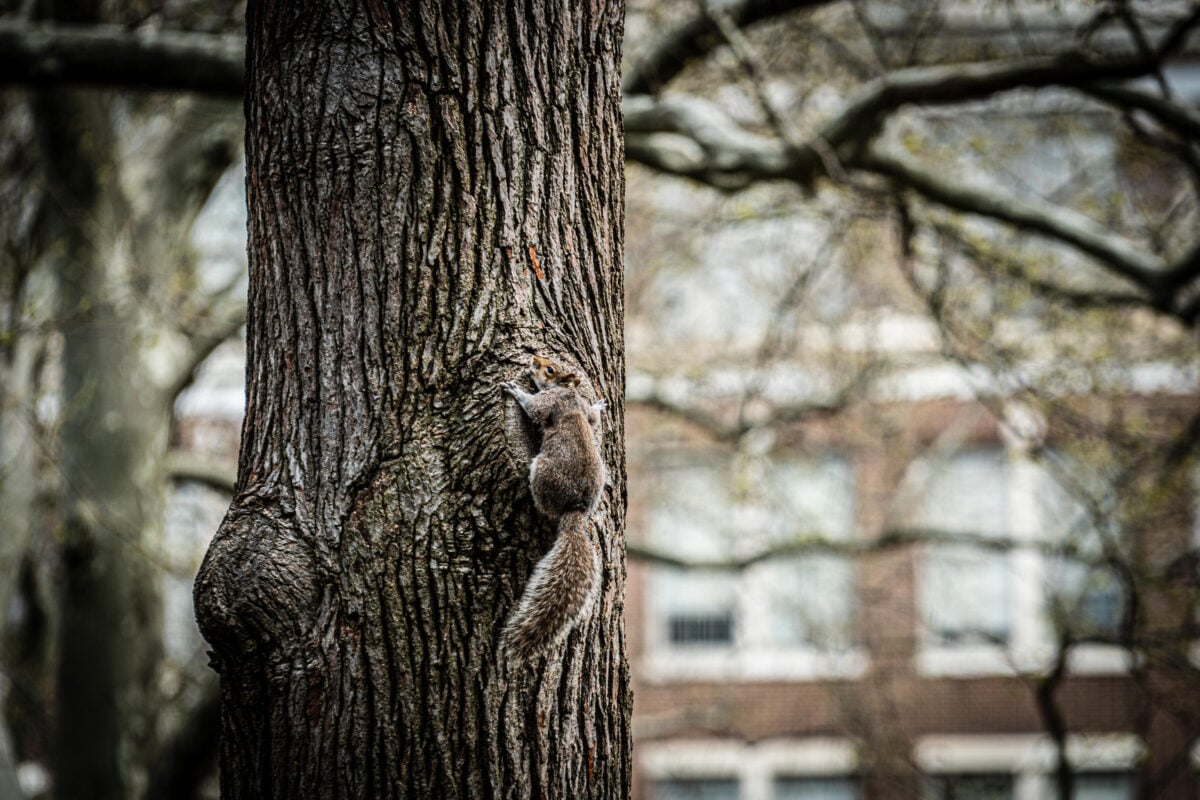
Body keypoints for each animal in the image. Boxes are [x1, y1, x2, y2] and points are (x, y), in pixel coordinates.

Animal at [499, 359, 604, 662]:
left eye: (549, 370)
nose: (534, 358)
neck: (567, 390)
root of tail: (576, 509)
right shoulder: (580, 406)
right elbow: (592, 418)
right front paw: (599, 406)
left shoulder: (550, 401)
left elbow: (533, 407)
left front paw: (516, 391)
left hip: (542, 471)